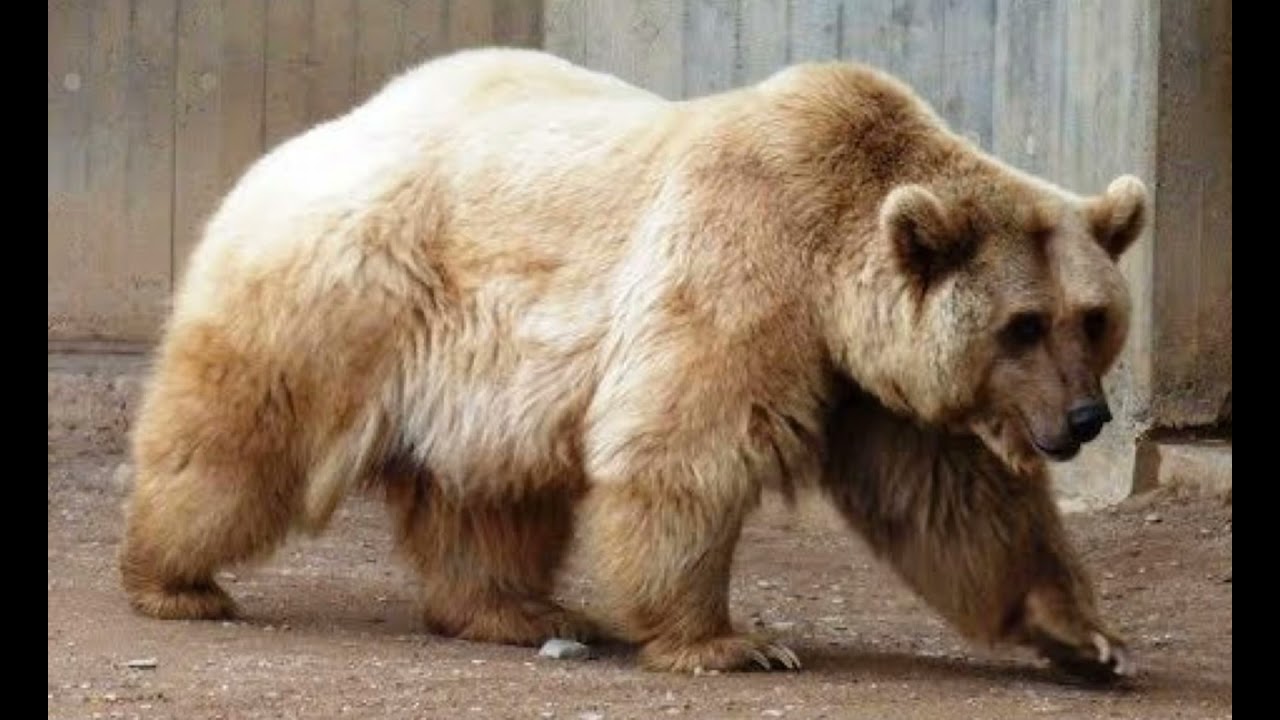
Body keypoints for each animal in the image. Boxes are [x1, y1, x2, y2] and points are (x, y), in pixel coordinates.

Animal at [119, 48, 1147, 680]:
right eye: (1023, 325)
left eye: (1093, 318)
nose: (1086, 419)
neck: (832, 269)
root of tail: (302, 139)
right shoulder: (744, 267)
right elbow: (686, 446)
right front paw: (734, 642)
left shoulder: (870, 381)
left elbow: (956, 500)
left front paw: (1087, 637)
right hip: (348, 290)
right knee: (240, 434)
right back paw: (173, 578)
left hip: (483, 374)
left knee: (488, 494)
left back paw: (521, 610)